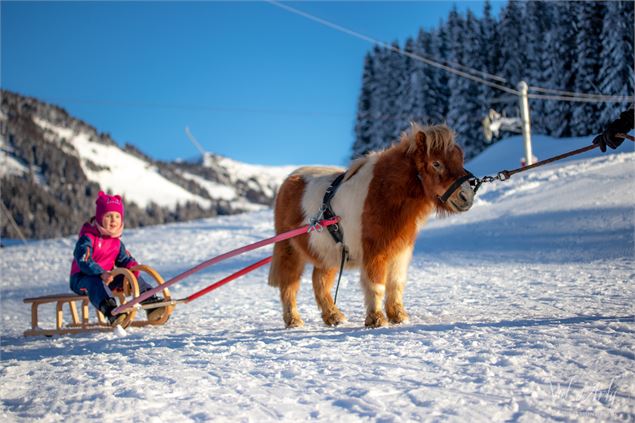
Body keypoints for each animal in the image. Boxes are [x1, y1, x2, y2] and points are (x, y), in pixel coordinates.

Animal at [268, 122, 472, 328]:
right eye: (436, 163)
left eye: (460, 161)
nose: (466, 197)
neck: (384, 192)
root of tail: (289, 180)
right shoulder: (375, 251)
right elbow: (377, 285)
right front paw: (377, 319)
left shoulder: (400, 251)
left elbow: (396, 283)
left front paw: (399, 316)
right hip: (290, 249)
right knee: (289, 284)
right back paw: (293, 319)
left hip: (328, 253)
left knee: (320, 282)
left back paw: (334, 316)